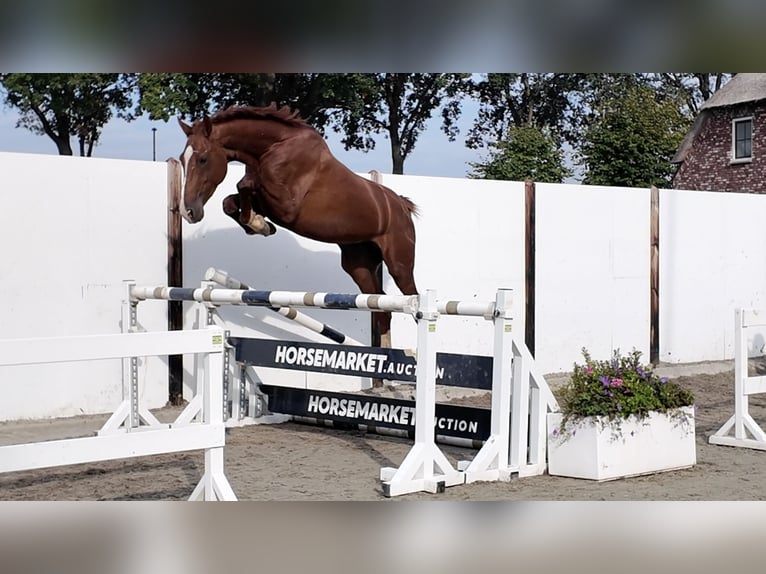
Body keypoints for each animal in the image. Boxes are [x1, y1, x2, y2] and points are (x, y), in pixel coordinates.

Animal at [177, 104, 419, 347]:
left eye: (203, 159)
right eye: (182, 159)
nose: (188, 212)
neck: (273, 147)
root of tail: (401, 205)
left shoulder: (287, 206)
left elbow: (244, 184)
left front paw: (258, 223)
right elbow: (230, 202)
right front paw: (259, 225)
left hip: (399, 264)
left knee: (412, 301)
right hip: (359, 266)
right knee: (382, 308)